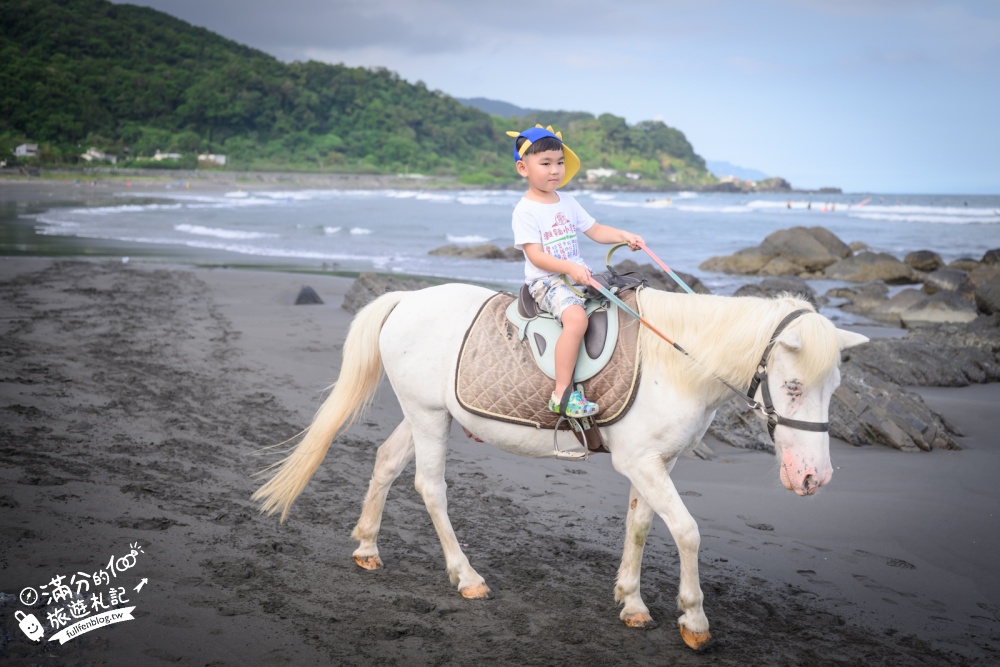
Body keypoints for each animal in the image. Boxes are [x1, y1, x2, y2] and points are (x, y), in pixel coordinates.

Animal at [252, 283, 868, 650]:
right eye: (793, 385)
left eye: (834, 386)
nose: (813, 479)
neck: (677, 362)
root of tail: (404, 299)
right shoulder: (642, 463)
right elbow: (688, 532)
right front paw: (693, 620)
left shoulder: (654, 464)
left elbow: (640, 526)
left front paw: (632, 603)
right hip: (427, 417)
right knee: (430, 487)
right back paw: (467, 577)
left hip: (425, 412)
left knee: (384, 464)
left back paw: (367, 546)